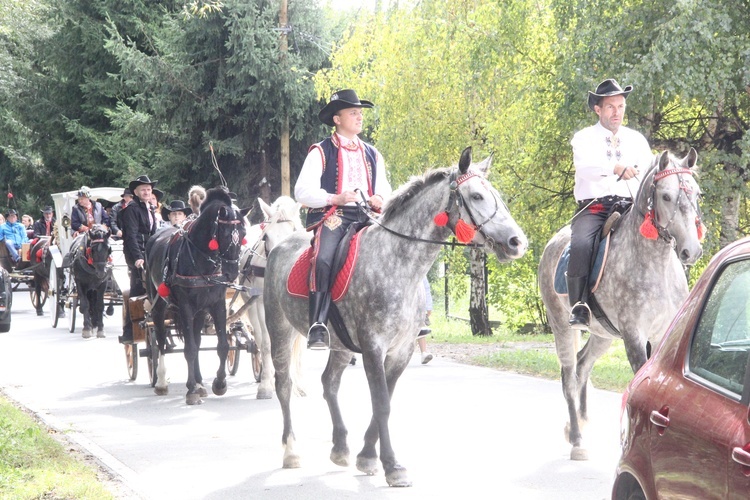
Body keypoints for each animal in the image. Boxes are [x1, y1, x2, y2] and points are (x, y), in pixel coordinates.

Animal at [146, 188, 250, 406]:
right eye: (225, 233)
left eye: (244, 234)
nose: (232, 272)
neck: (200, 257)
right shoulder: (186, 306)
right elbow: (190, 350)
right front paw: (192, 390)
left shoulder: (216, 304)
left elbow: (222, 345)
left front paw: (218, 383)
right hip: (158, 305)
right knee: (160, 340)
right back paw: (161, 382)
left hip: (200, 311)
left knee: (195, 339)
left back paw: (200, 382)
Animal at [264, 146, 528, 486]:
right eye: (477, 196)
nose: (517, 242)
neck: (398, 263)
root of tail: (278, 247)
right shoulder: (373, 347)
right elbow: (382, 404)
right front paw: (392, 465)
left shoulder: (401, 350)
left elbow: (384, 401)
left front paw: (366, 456)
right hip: (280, 331)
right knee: (284, 384)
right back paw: (291, 451)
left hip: (340, 344)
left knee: (329, 383)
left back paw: (340, 448)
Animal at [540, 148, 704, 460]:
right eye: (666, 196)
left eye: (697, 194)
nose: (692, 250)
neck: (655, 264)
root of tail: (553, 243)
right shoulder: (633, 334)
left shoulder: (660, 333)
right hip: (561, 325)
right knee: (569, 376)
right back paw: (577, 439)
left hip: (603, 334)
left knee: (582, 365)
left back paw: (579, 423)